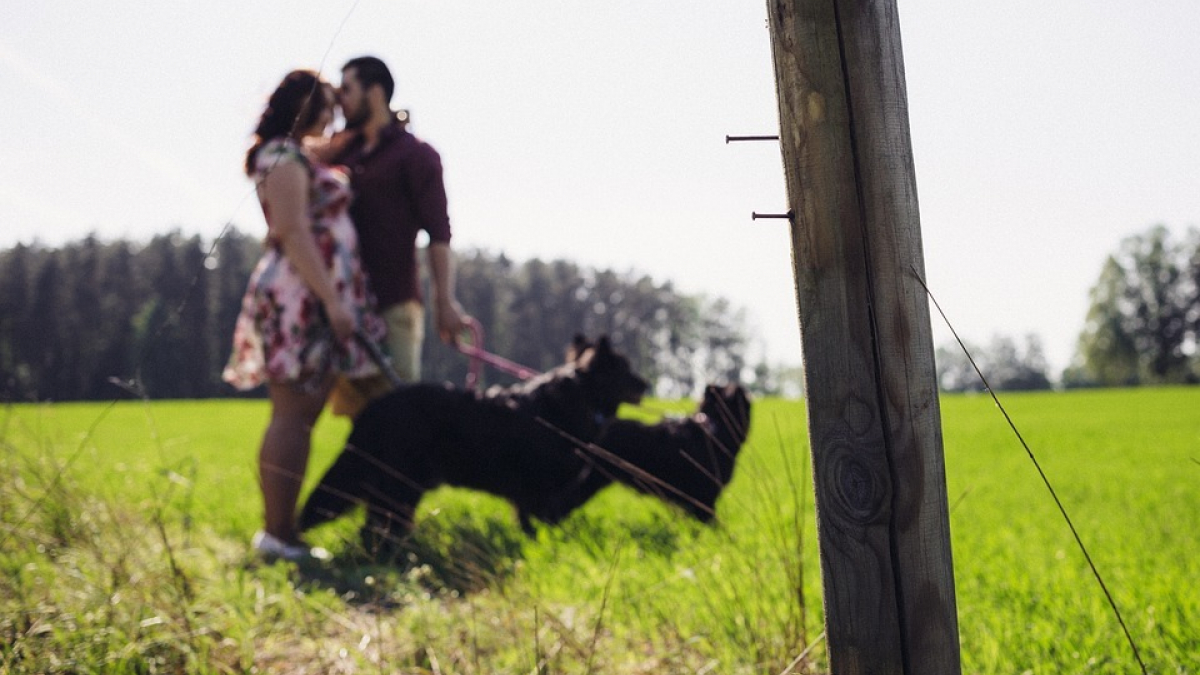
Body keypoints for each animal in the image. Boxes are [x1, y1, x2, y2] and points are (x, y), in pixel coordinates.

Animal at [300, 333, 652, 542]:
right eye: (625, 368)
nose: (648, 384)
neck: (577, 397)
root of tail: (373, 409)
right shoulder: (537, 487)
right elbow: (538, 519)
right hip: (400, 483)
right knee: (376, 528)